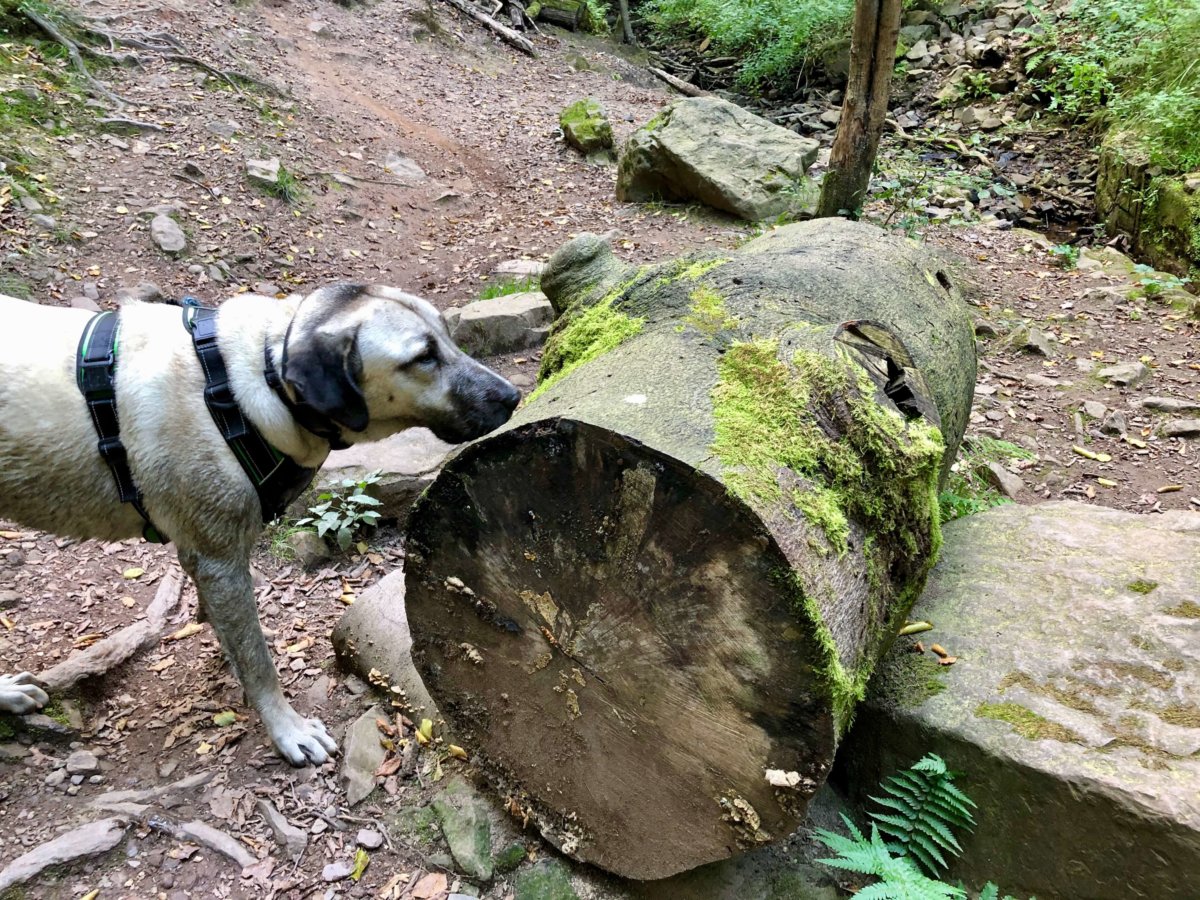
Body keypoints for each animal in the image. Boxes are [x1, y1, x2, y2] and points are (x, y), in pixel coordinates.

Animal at [0, 283, 520, 765]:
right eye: (422, 357)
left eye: (447, 336)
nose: (513, 397)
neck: (252, 379)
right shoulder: (219, 560)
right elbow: (257, 661)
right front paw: (287, 728)